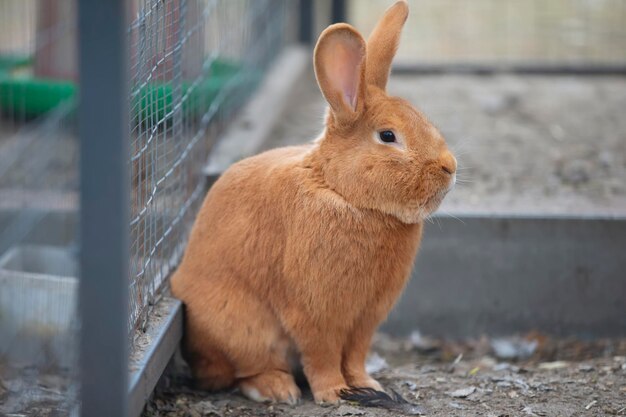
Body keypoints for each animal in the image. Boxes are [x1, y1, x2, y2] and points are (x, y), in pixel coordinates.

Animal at [171, 0, 454, 404]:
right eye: (388, 136)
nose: (450, 167)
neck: (342, 192)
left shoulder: (365, 319)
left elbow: (355, 356)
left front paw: (366, 385)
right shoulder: (315, 313)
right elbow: (322, 356)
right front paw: (334, 393)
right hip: (245, 329)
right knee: (243, 370)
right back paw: (277, 389)